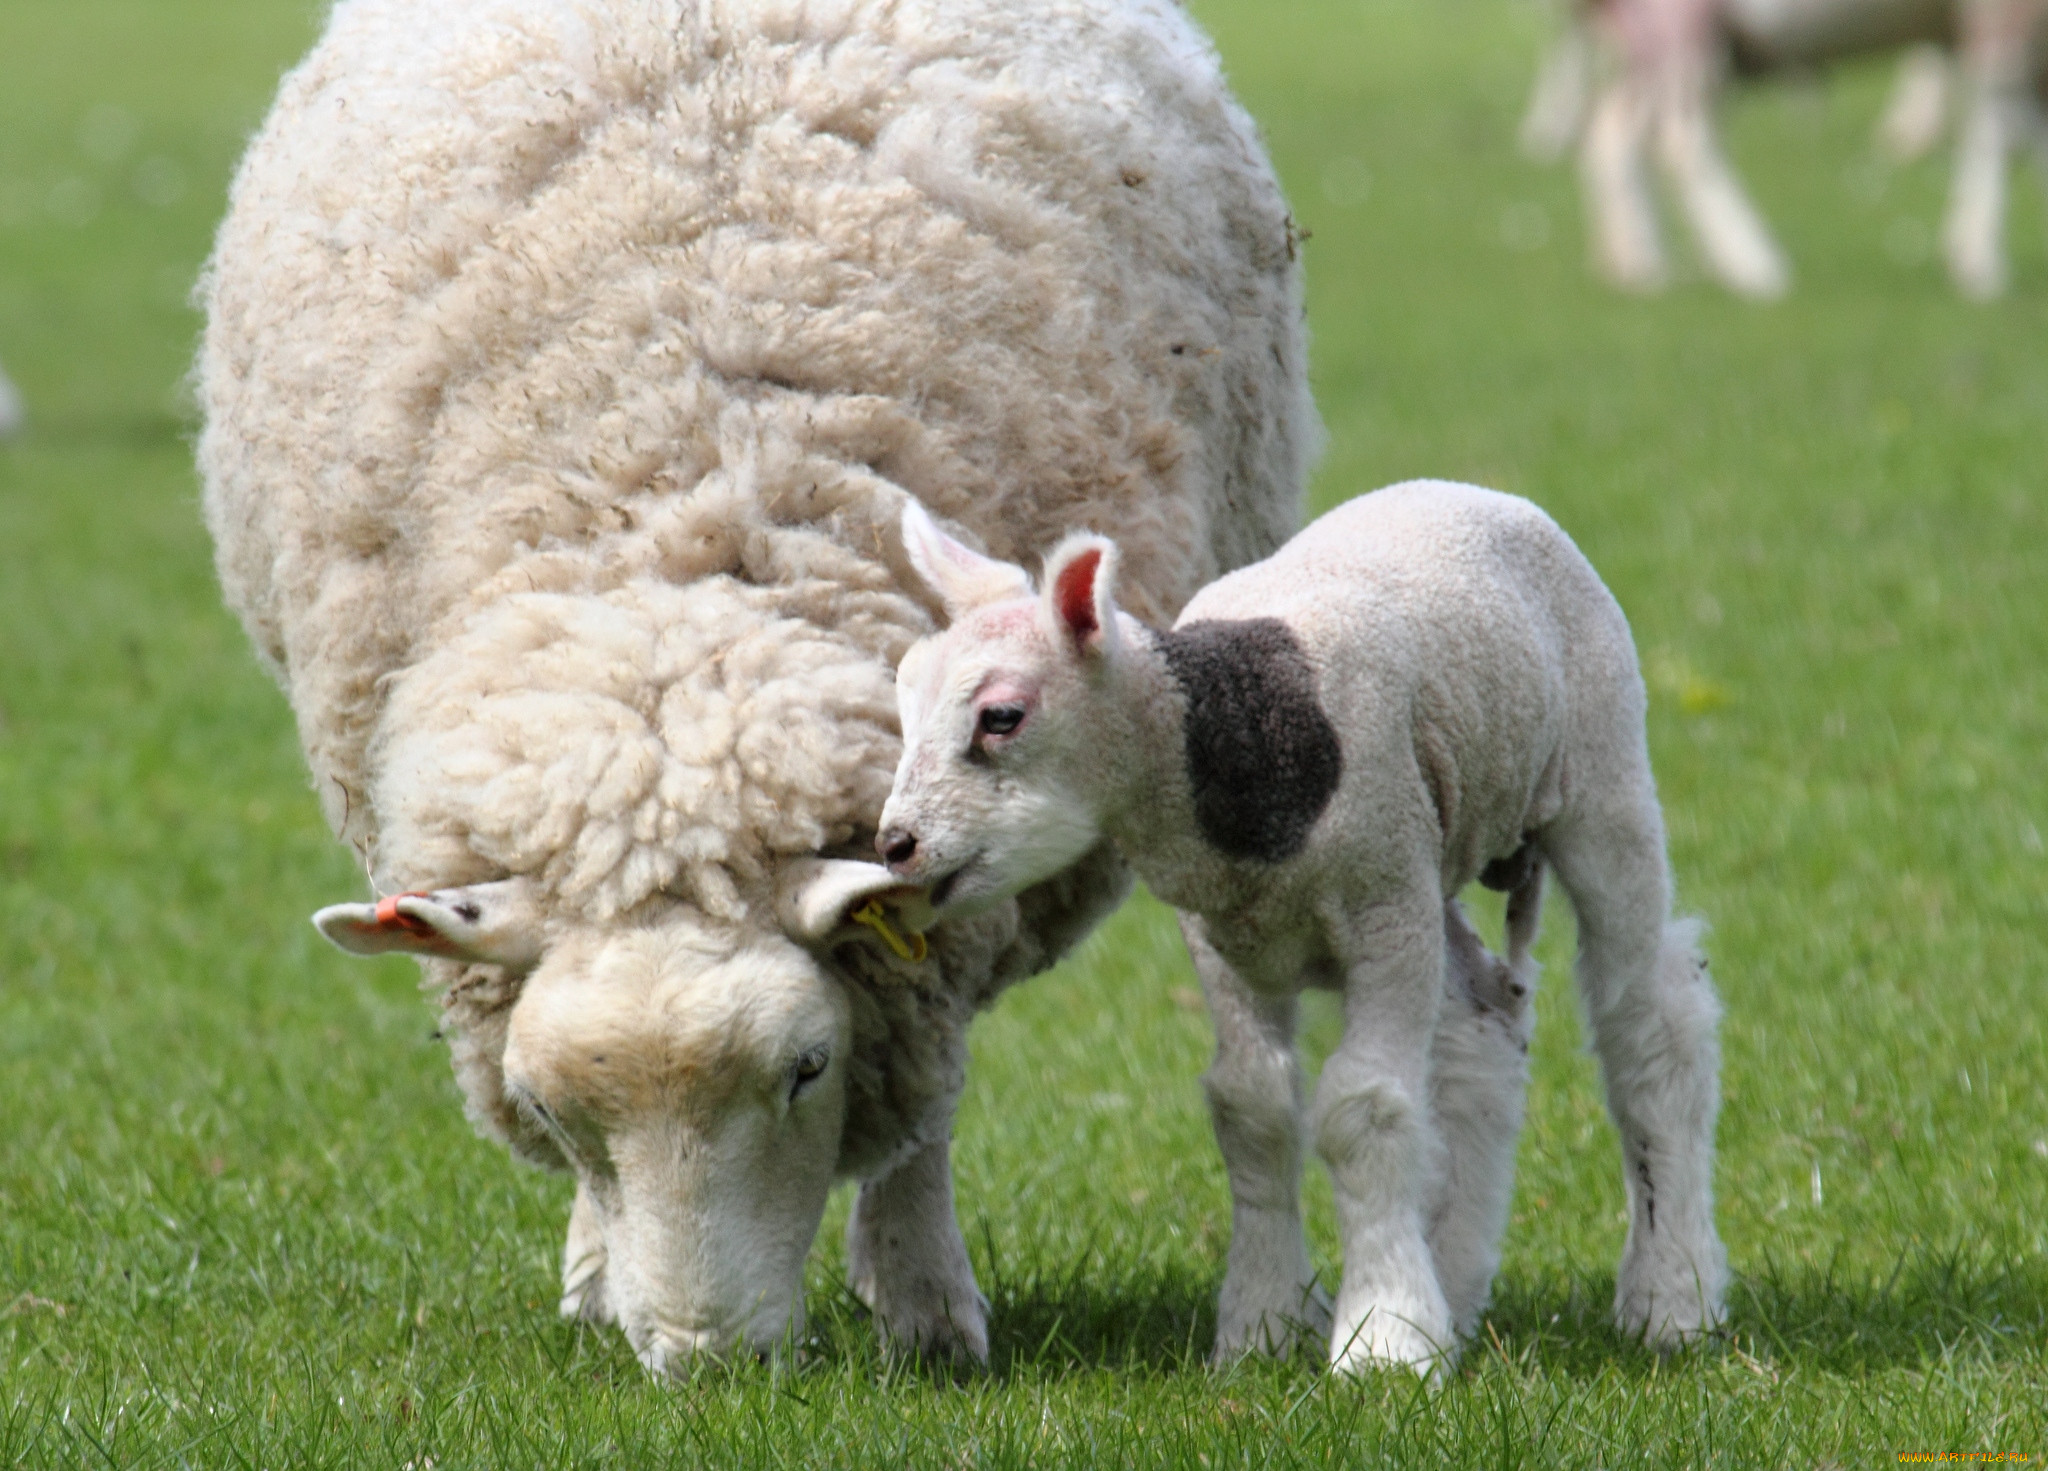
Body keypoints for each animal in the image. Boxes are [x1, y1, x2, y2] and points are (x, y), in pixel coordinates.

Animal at [195, 0, 1310, 1376]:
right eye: (546, 1107)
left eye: (807, 1068)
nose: (705, 1365)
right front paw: (594, 1275)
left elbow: (925, 1098)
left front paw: (923, 1302)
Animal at [880, 487, 1728, 1384]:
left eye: (1001, 717)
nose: (894, 845)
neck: (1224, 734)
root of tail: (1478, 491)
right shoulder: (1224, 935)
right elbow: (1250, 1107)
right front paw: (1264, 1326)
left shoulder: (1385, 907)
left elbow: (1365, 1104)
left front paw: (1386, 1338)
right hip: (1434, 849)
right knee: (1483, 1026)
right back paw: (1455, 1283)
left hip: (1599, 772)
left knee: (1653, 1021)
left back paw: (1671, 1298)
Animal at [1540, 0, 2039, 297]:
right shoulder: (2004, 16)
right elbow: (2002, 133)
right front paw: (1983, 267)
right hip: (1675, 24)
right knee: (1681, 140)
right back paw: (1754, 267)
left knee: (1612, 131)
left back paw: (1644, 266)